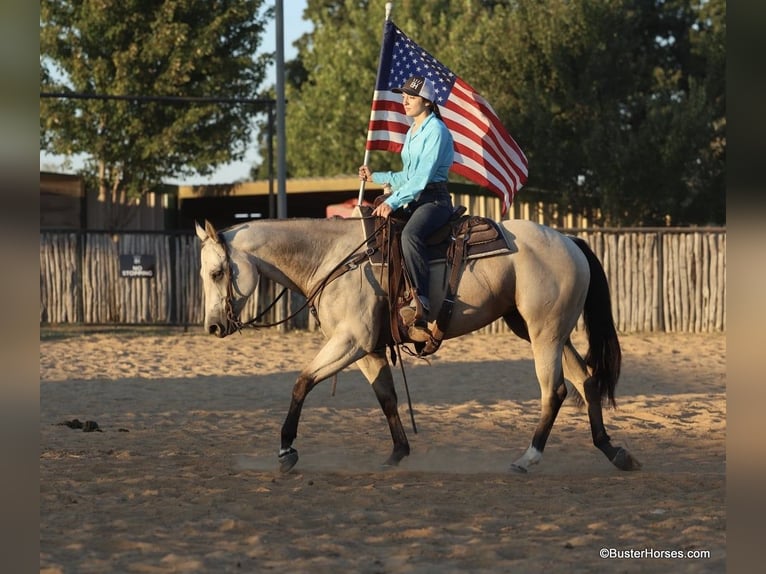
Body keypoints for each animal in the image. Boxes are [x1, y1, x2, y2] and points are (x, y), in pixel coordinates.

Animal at [195, 215, 641, 474]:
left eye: (217, 272)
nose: (214, 326)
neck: (335, 259)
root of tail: (568, 241)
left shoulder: (349, 342)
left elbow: (302, 382)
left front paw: (287, 450)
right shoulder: (369, 349)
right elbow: (387, 398)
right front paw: (398, 453)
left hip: (544, 332)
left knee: (556, 389)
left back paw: (528, 458)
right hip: (547, 331)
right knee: (587, 380)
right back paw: (613, 451)